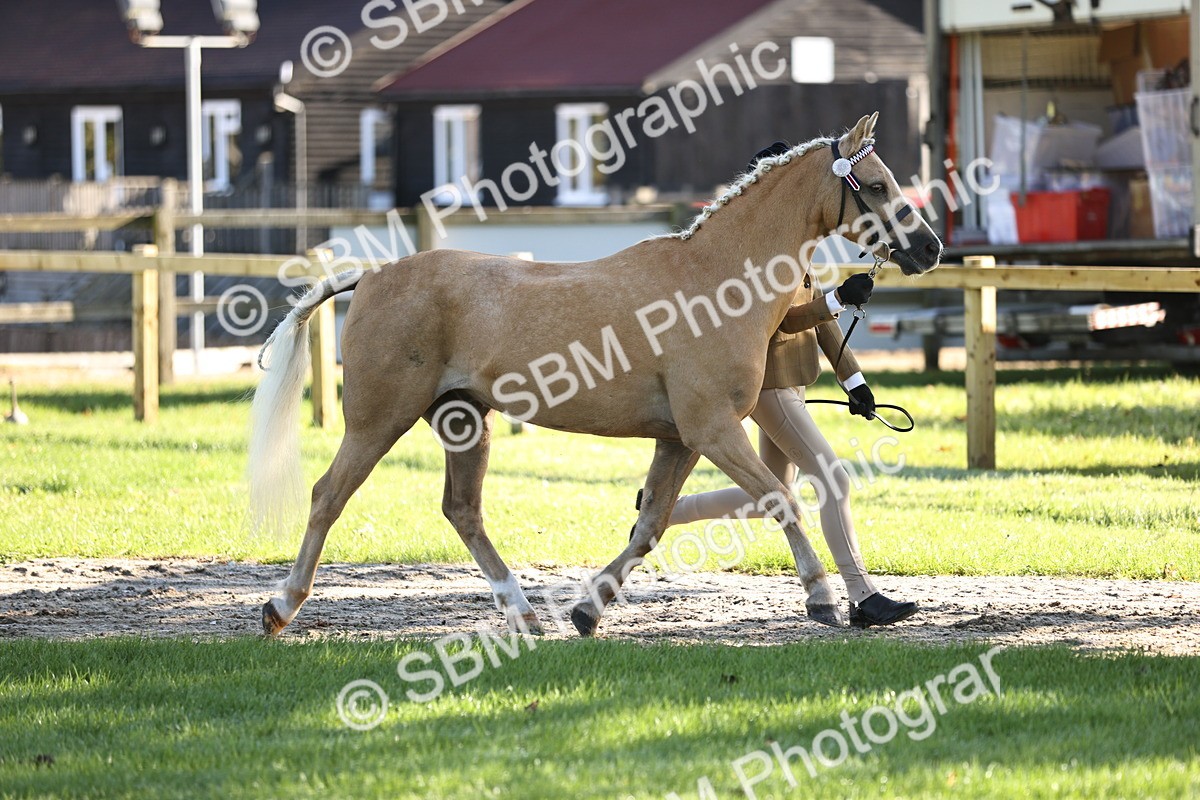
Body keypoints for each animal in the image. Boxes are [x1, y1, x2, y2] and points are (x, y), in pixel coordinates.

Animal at [251, 112, 942, 638]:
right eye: (876, 184)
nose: (930, 249)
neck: (715, 282)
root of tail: (369, 277)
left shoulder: (681, 439)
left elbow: (651, 526)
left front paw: (588, 610)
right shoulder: (714, 429)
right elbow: (781, 498)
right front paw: (822, 598)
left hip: (464, 421)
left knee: (463, 511)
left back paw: (525, 613)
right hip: (377, 421)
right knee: (328, 496)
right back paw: (280, 607)